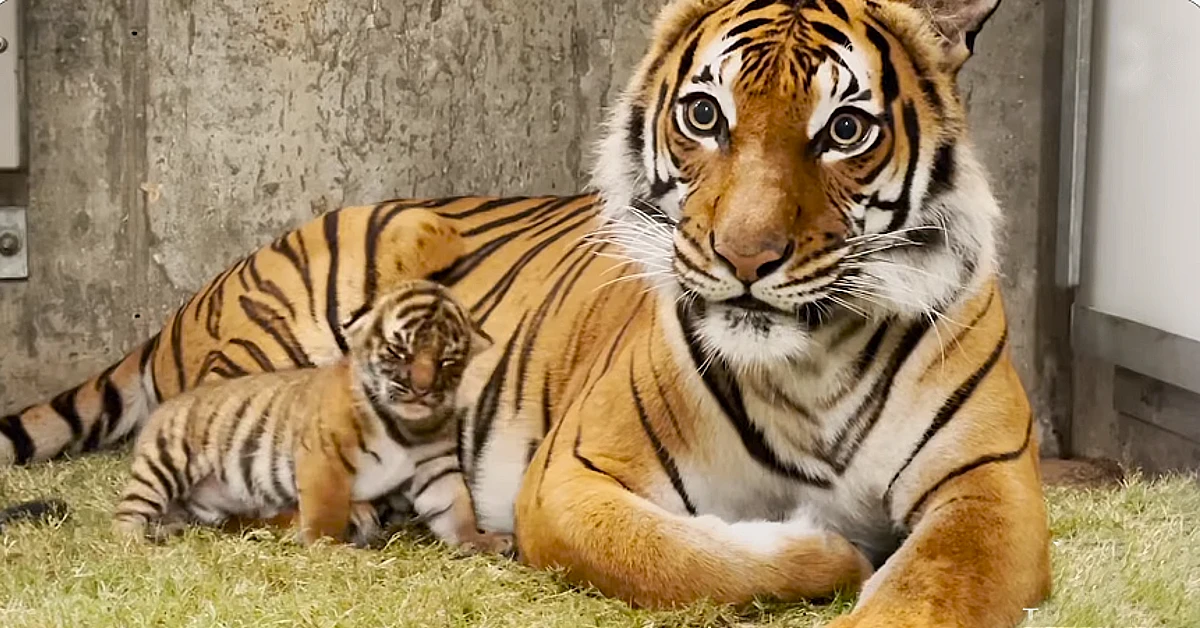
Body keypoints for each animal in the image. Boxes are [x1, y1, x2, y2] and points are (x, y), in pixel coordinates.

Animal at [110, 279, 508, 554]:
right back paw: (132, 542)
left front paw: (482, 540)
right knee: (128, 510)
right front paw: (330, 547)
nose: (421, 390)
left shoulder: (434, 468)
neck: (405, 427)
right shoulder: (325, 457)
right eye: (398, 351)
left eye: (446, 359)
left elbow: (456, 508)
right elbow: (326, 510)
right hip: (165, 463)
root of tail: (163, 406)